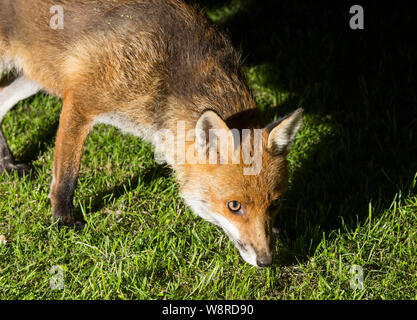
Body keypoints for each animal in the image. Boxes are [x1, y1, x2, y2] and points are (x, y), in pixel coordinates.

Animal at [0, 0, 300, 268]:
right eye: (234, 206)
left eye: (274, 204)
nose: (266, 261)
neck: (167, 74)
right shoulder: (81, 101)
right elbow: (67, 173)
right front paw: (63, 219)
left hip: (37, 70)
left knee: (3, 99)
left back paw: (6, 162)